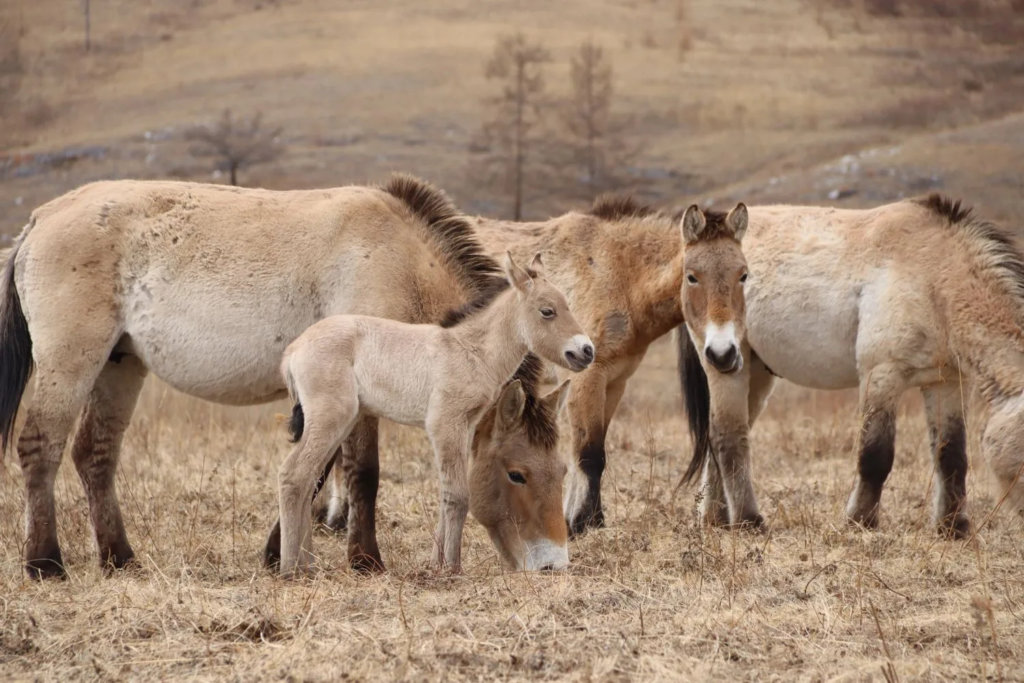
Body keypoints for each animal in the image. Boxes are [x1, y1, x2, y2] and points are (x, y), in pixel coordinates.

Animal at [0, 174, 517, 579]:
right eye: (518, 474)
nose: (532, 565)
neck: (401, 260)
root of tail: (39, 220)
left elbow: (318, 472)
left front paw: (277, 553)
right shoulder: (354, 397)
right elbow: (362, 473)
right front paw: (365, 561)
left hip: (119, 365)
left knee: (95, 454)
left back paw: (119, 559)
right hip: (71, 361)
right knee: (41, 447)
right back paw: (45, 563)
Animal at [272, 253, 592, 576]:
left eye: (562, 471)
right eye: (547, 311)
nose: (586, 351)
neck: (471, 351)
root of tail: (293, 350)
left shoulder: (465, 425)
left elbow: (447, 493)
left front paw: (437, 564)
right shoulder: (445, 423)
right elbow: (458, 495)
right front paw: (452, 568)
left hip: (340, 422)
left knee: (307, 478)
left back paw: (307, 565)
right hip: (331, 417)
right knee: (293, 474)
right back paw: (290, 569)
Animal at [679, 194, 1024, 537]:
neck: (934, 276)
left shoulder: (945, 383)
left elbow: (951, 456)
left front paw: (953, 527)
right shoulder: (882, 374)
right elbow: (875, 456)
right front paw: (860, 521)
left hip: (757, 371)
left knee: (724, 436)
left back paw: (715, 518)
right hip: (726, 365)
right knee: (728, 436)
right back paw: (749, 520)